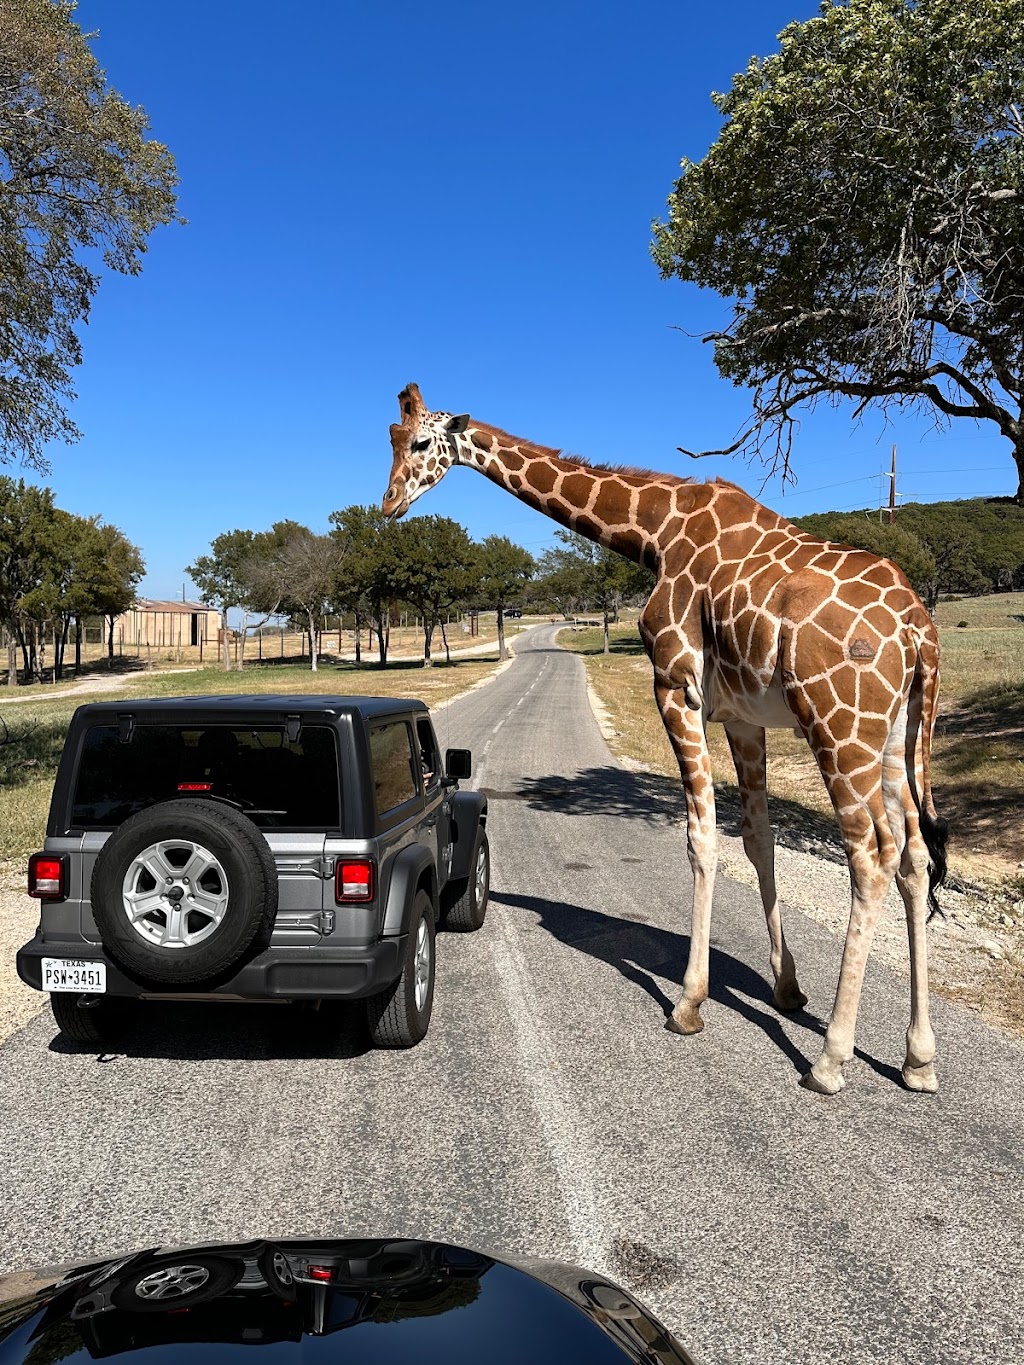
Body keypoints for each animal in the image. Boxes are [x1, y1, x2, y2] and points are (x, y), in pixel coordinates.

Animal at [382, 384, 950, 1097]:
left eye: (420, 443)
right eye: (389, 442)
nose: (389, 503)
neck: (654, 534)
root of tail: (919, 628)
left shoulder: (676, 684)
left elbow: (700, 838)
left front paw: (689, 1003)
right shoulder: (742, 714)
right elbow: (756, 840)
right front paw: (787, 988)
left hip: (838, 725)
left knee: (871, 857)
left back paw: (831, 1059)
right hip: (899, 732)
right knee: (913, 857)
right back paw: (918, 1057)